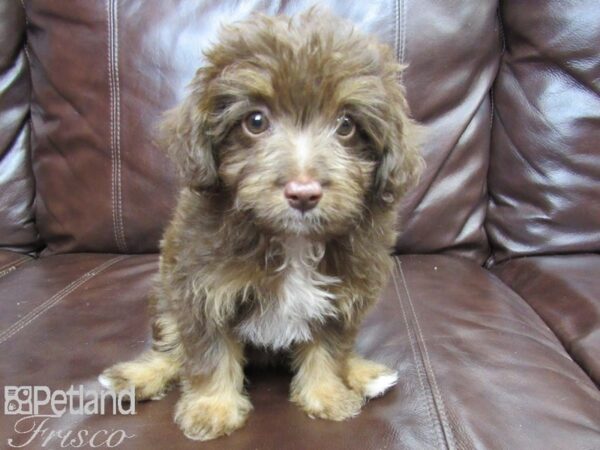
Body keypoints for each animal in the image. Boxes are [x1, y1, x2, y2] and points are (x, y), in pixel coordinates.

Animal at [98, 8, 422, 442]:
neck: (291, 239)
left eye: (346, 126)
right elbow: (208, 351)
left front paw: (327, 395)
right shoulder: (201, 289)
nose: (303, 193)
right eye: (255, 121)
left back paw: (363, 373)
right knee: (174, 347)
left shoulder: (341, 297)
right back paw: (138, 376)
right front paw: (213, 408)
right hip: (165, 295)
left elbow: (329, 348)